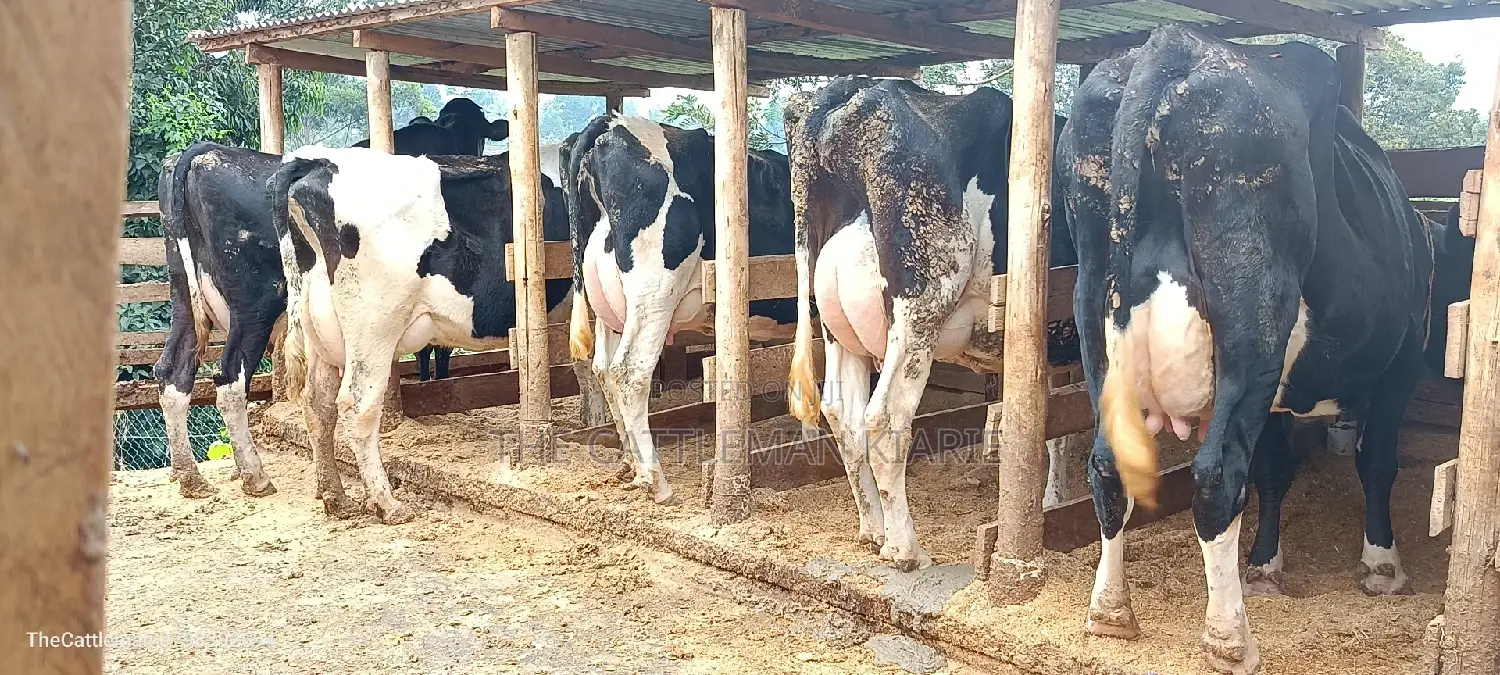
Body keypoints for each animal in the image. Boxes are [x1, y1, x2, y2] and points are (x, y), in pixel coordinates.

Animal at [153, 98, 506, 498]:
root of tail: (204, 152)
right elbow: (436, 351)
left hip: (184, 296)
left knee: (172, 371)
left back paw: (190, 476)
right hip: (255, 305)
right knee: (229, 379)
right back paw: (255, 476)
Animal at [271, 146, 574, 523]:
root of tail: (318, 161)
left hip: (321, 331)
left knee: (318, 404)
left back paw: (336, 497)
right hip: (374, 326)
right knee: (357, 405)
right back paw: (387, 503)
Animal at [560, 115, 799, 505]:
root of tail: (613, 123)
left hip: (607, 303)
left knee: (603, 369)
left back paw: (632, 465)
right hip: (654, 293)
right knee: (629, 372)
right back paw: (656, 481)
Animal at [780, 77, 1078, 571]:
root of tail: (850, 96)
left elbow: (1058, 426)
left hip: (838, 327)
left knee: (843, 416)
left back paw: (873, 529)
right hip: (921, 305)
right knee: (884, 419)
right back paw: (904, 550)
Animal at [1058, 25, 1435, 674]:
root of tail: (1176, 42)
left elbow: (1276, 470)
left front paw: (1264, 565)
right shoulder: (1402, 359)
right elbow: (1374, 460)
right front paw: (1382, 566)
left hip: (1094, 320)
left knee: (1108, 464)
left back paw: (1110, 613)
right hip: (1253, 315)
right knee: (1217, 475)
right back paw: (1229, 638)